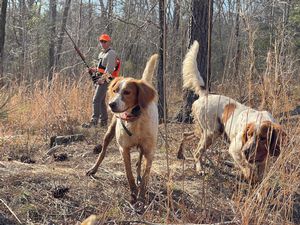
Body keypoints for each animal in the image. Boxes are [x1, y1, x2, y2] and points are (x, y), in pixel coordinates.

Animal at [86, 54, 159, 202]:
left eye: (127, 92)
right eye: (115, 91)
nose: (111, 104)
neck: (134, 119)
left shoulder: (150, 151)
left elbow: (145, 176)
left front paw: (141, 197)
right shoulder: (124, 149)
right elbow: (128, 173)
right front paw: (133, 193)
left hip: (142, 148)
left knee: (139, 162)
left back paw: (139, 177)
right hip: (109, 134)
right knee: (102, 153)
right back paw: (93, 169)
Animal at [178, 41, 286, 184]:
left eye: (263, 138)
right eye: (249, 135)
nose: (246, 151)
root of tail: (205, 95)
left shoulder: (263, 161)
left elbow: (259, 175)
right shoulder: (235, 149)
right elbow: (248, 170)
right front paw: (249, 179)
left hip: (205, 131)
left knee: (185, 134)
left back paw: (180, 154)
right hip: (212, 133)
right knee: (197, 152)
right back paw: (199, 169)